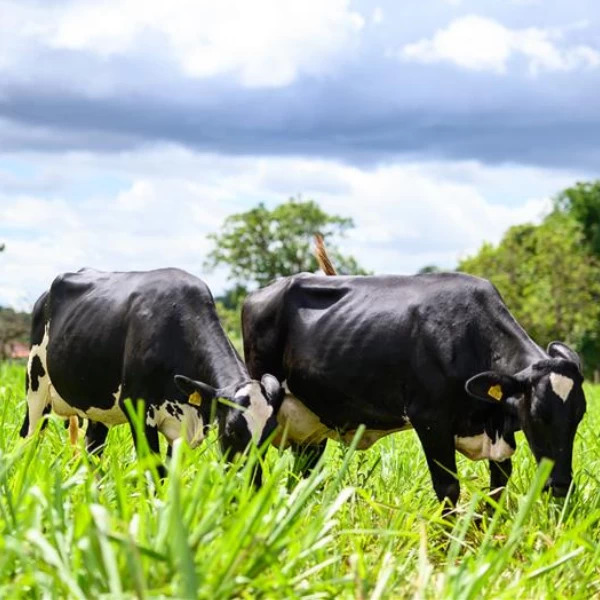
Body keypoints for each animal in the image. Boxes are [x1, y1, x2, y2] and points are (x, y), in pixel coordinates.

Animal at [22, 268, 283, 478]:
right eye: (231, 430)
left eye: (271, 433)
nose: (252, 486)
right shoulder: (137, 410)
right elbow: (154, 472)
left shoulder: (183, 430)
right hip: (36, 389)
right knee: (29, 438)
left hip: (97, 405)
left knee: (93, 450)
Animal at [241, 239, 586, 507]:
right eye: (538, 415)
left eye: (580, 415)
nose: (560, 485)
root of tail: (263, 291)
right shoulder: (429, 418)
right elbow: (448, 488)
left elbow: (497, 486)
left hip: (310, 421)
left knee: (306, 472)